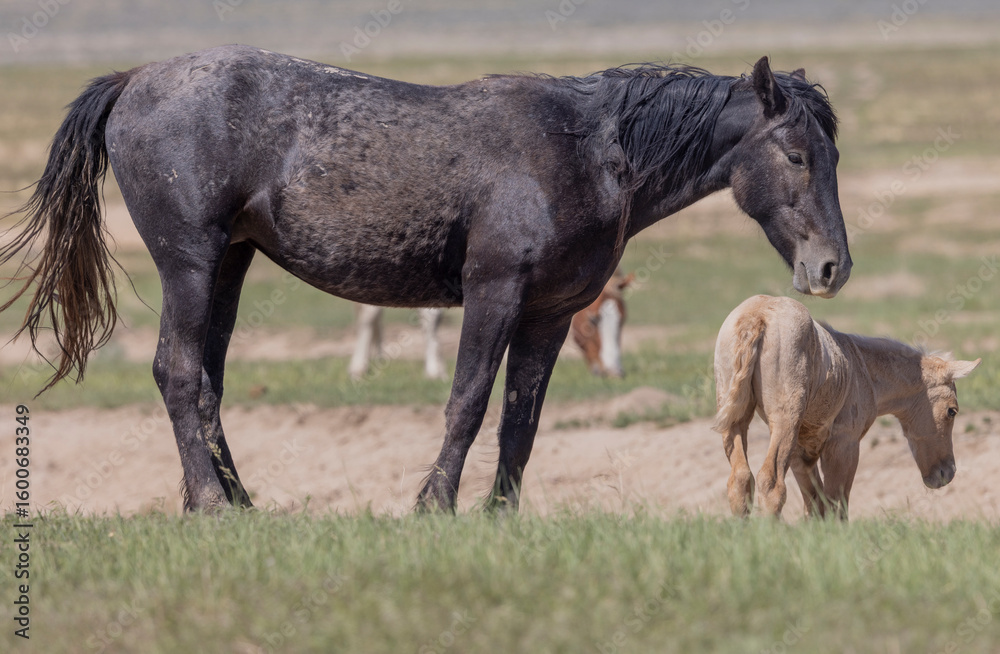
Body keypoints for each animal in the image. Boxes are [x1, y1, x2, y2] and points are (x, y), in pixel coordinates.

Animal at [0, 46, 850, 512]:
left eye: (833, 155)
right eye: (795, 155)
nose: (832, 267)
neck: (587, 148)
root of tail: (135, 78)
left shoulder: (548, 314)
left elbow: (520, 419)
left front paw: (501, 513)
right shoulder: (494, 293)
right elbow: (467, 401)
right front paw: (433, 504)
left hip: (229, 266)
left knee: (207, 383)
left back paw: (239, 502)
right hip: (190, 259)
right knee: (177, 373)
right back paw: (210, 503)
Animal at [713, 295, 980, 520]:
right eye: (952, 411)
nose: (946, 473)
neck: (862, 367)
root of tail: (756, 316)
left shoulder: (802, 455)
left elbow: (816, 505)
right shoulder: (844, 444)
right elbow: (836, 505)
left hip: (735, 423)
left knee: (740, 480)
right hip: (784, 423)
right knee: (771, 482)